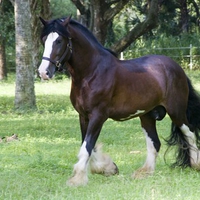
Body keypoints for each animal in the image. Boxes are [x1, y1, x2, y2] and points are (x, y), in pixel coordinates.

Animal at [38, 16, 200, 187]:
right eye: (44, 40)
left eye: (59, 41)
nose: (43, 72)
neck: (92, 72)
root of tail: (177, 68)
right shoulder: (83, 116)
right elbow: (88, 145)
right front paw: (107, 168)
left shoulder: (98, 116)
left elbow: (87, 146)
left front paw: (78, 178)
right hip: (147, 115)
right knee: (154, 143)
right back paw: (144, 172)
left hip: (176, 111)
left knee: (189, 132)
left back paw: (195, 164)